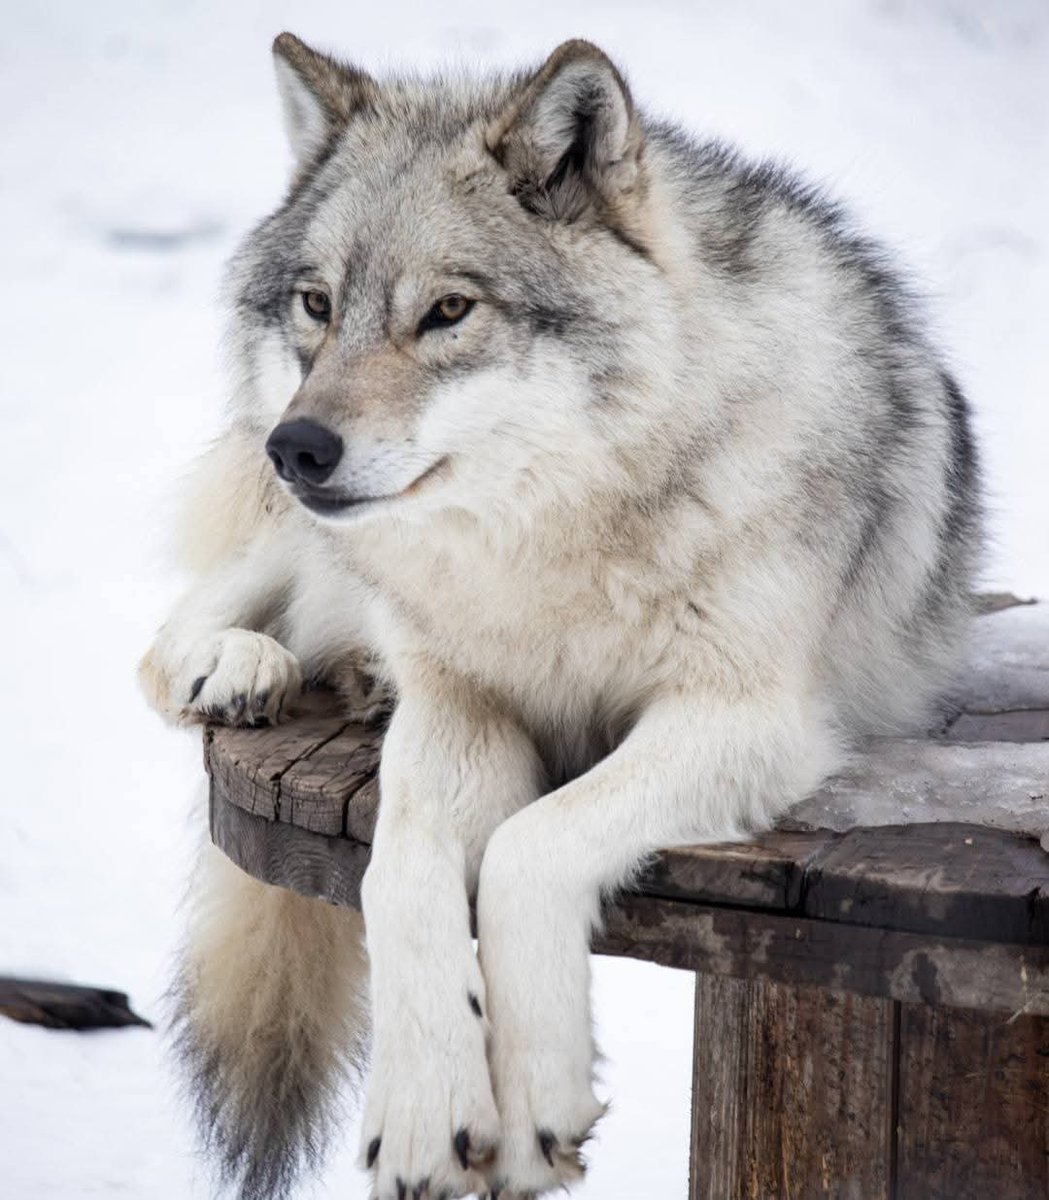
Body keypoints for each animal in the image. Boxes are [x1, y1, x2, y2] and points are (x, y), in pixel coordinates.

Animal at [139, 31, 981, 1200]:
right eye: (316, 304)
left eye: (448, 311)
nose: (297, 448)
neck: (547, 541)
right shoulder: (461, 706)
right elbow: (399, 872)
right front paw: (423, 1112)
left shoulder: (740, 716)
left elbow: (531, 847)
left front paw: (532, 1094)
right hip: (307, 545)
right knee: (184, 629)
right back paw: (242, 665)